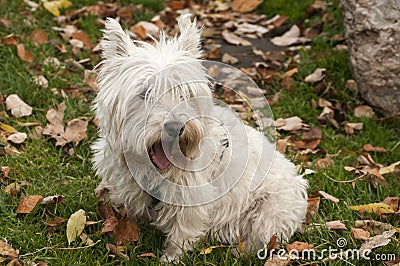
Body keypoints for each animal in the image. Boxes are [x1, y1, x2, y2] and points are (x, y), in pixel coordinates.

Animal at [92, 14, 308, 260]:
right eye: (144, 93)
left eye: (184, 93)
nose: (175, 127)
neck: (156, 170)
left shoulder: (191, 198)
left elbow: (182, 233)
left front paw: (171, 259)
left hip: (271, 208)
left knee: (261, 238)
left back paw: (238, 251)